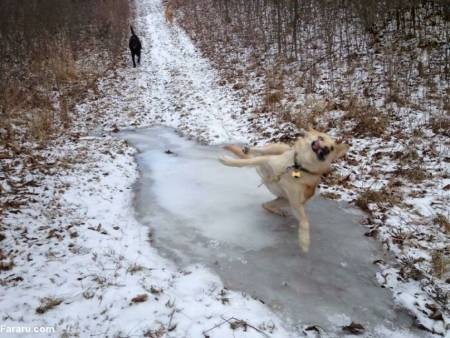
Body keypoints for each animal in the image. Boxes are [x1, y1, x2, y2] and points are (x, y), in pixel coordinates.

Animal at [220, 128, 350, 252]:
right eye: (321, 138)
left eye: (332, 148)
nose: (326, 148)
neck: (298, 167)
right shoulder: (266, 160)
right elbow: (242, 162)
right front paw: (227, 161)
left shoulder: (296, 203)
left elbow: (305, 222)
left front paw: (304, 241)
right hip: (278, 149)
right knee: (260, 151)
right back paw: (248, 149)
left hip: (284, 200)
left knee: (265, 204)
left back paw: (278, 210)